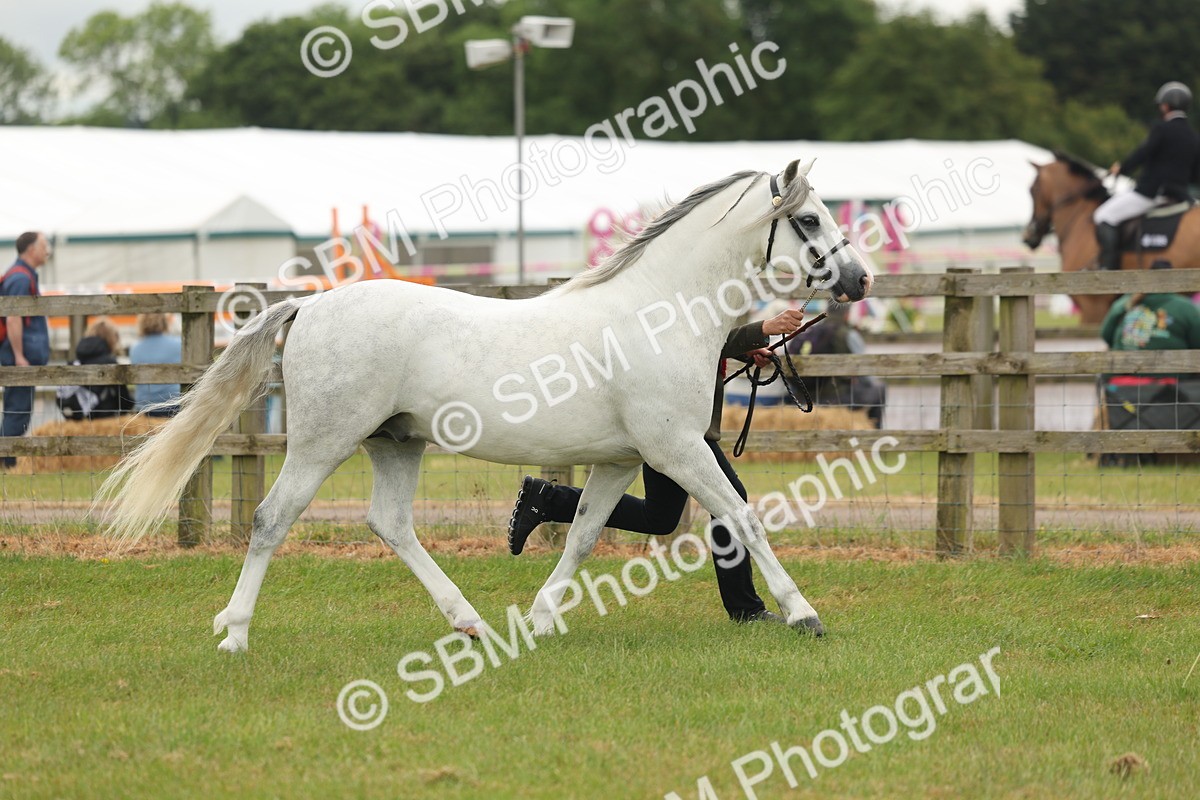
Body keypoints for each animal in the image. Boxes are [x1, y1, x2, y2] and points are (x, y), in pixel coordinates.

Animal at [98, 159, 874, 653]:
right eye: (809, 219)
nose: (860, 279)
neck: (660, 311)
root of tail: (309, 307)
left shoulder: (623, 460)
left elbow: (584, 534)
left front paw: (541, 619)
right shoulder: (678, 448)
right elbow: (743, 517)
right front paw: (803, 614)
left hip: (397, 442)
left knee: (391, 524)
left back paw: (469, 621)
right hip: (324, 441)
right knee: (270, 519)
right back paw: (234, 633)